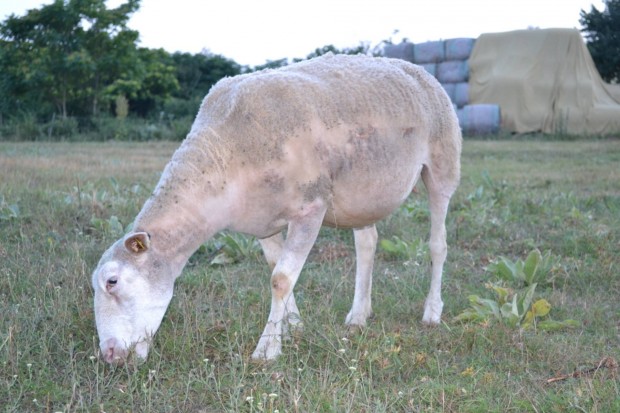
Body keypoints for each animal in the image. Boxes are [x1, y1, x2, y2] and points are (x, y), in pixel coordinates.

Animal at [91, 53, 460, 362]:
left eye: (112, 282)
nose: (108, 354)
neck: (225, 156)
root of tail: (416, 68)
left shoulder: (311, 208)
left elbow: (281, 279)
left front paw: (268, 347)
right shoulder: (263, 222)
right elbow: (277, 270)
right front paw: (293, 326)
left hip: (442, 166)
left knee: (438, 245)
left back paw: (432, 311)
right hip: (363, 195)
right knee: (367, 244)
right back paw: (358, 315)